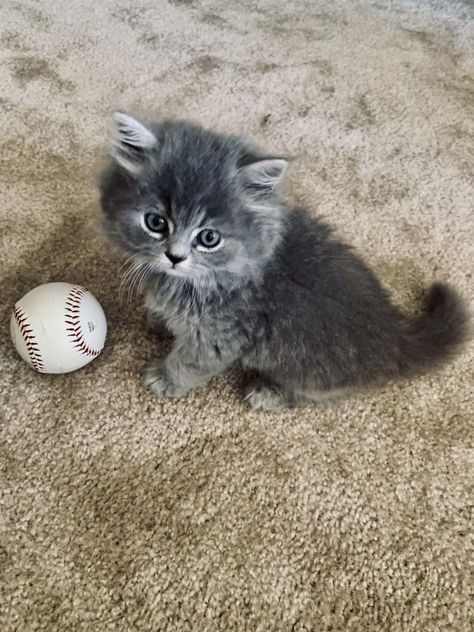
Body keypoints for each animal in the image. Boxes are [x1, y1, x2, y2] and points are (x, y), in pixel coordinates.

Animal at [98, 112, 468, 410]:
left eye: (209, 238)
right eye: (155, 222)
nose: (174, 256)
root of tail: (395, 335)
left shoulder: (220, 334)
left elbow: (189, 362)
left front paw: (165, 378)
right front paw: (161, 321)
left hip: (307, 372)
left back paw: (269, 394)